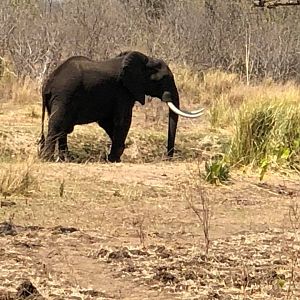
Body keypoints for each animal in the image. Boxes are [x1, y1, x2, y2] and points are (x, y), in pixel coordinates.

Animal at [38, 50, 204, 162]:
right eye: (163, 79)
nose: (167, 157)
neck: (144, 61)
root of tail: (48, 83)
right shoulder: (123, 91)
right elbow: (123, 121)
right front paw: (114, 159)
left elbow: (107, 123)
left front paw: (115, 155)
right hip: (64, 96)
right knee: (57, 125)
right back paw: (48, 159)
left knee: (63, 128)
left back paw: (66, 159)